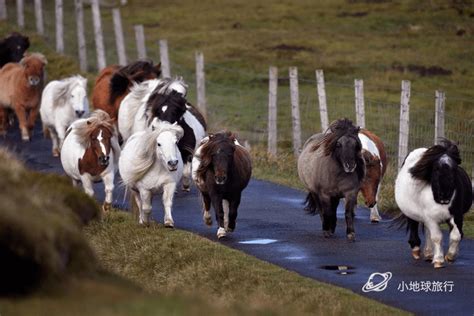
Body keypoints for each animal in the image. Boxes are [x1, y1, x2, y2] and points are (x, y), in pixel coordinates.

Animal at [394, 139, 472, 268]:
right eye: (436, 169)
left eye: (455, 168)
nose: (445, 195)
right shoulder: (430, 218)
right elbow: (437, 237)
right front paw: (438, 260)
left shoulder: (456, 215)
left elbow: (456, 235)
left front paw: (450, 256)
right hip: (412, 214)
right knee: (416, 227)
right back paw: (418, 250)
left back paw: (429, 253)